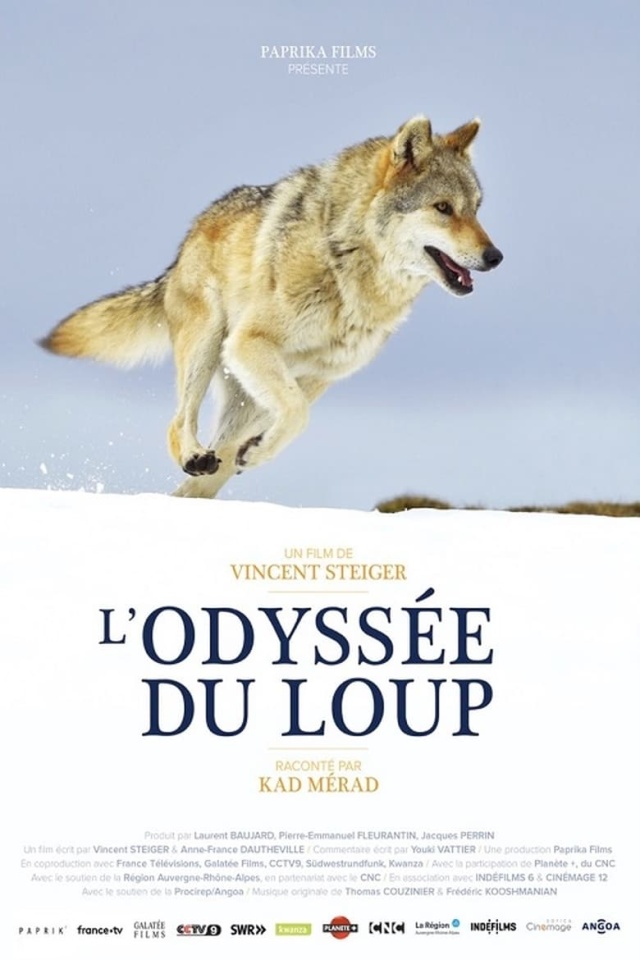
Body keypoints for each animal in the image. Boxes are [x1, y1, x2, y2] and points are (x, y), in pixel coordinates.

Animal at [40, 115, 503, 498]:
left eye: (476, 210)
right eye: (443, 208)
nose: (495, 256)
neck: (346, 263)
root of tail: (185, 242)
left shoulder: (318, 377)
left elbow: (292, 419)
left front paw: (257, 451)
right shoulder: (251, 342)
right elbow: (297, 415)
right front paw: (257, 451)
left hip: (245, 394)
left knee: (211, 468)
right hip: (211, 345)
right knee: (179, 425)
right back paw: (193, 455)